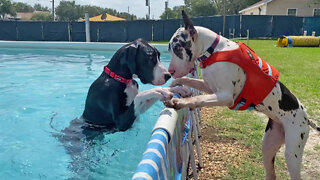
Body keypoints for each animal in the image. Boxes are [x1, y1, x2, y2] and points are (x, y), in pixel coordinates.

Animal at [165, 11, 320, 180]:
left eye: (178, 47)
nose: (171, 71)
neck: (213, 50)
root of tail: (307, 118)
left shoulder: (225, 96)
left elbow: (198, 98)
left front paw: (180, 102)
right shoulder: (210, 88)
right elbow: (188, 81)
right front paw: (174, 86)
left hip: (292, 152)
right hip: (268, 145)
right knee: (271, 173)